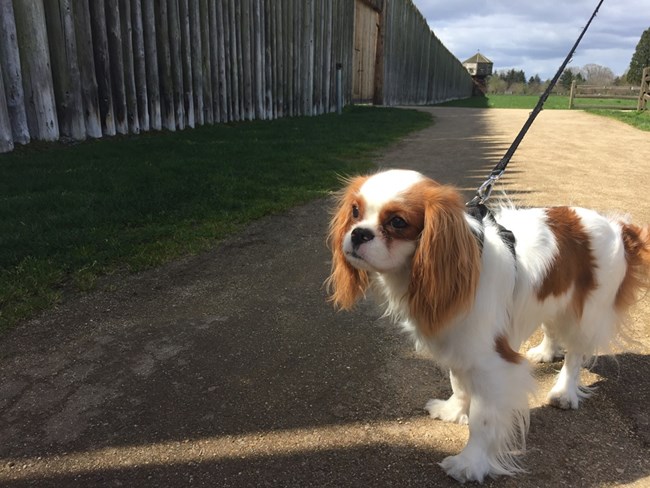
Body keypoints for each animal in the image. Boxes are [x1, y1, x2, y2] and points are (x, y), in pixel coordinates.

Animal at [326, 170, 648, 482]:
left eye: (397, 222)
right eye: (355, 211)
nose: (358, 234)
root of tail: (617, 226)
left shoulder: (491, 362)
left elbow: (483, 419)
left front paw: (470, 464)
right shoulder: (459, 342)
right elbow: (458, 382)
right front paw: (453, 411)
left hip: (585, 314)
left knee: (575, 356)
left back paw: (564, 392)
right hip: (552, 296)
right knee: (551, 327)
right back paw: (545, 352)